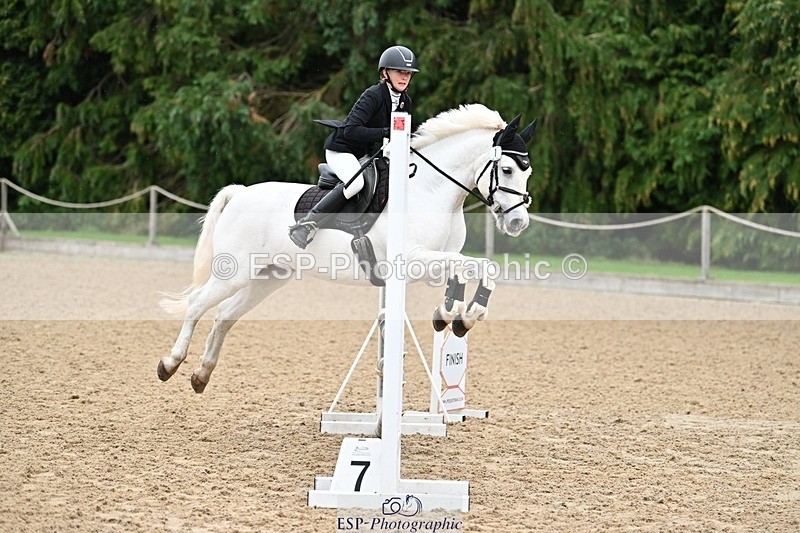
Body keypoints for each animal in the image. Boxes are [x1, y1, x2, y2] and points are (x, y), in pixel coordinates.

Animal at [157, 103, 537, 393]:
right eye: (506, 169)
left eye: (527, 172)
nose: (519, 224)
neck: (432, 192)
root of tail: (240, 192)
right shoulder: (412, 260)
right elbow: (470, 266)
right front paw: (459, 316)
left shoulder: (432, 263)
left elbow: (474, 267)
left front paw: (455, 316)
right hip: (234, 273)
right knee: (197, 305)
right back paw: (170, 363)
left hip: (268, 276)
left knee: (224, 316)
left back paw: (201, 375)